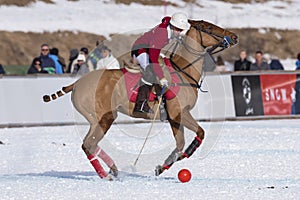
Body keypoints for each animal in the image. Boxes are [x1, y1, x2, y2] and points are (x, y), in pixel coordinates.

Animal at [42, 19, 239, 180]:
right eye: (208, 27)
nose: (234, 36)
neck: (183, 71)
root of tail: (76, 83)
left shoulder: (174, 118)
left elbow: (180, 144)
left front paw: (162, 167)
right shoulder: (179, 113)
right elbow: (200, 134)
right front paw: (181, 157)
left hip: (95, 119)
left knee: (88, 144)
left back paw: (113, 169)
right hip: (105, 117)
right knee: (89, 144)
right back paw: (106, 175)